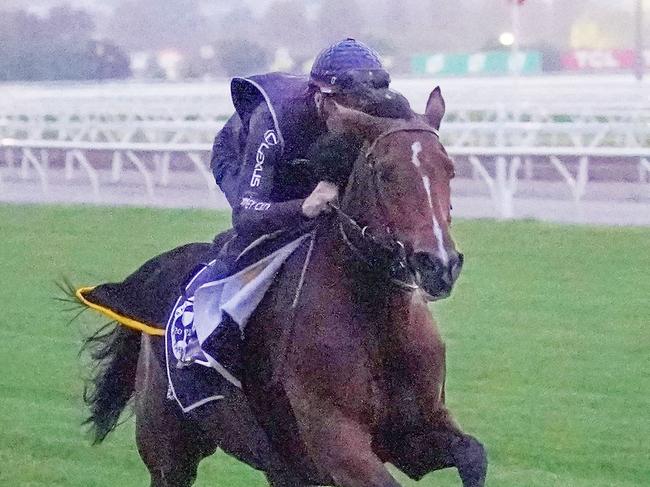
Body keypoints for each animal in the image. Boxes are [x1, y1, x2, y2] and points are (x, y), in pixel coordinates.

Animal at [73, 86, 484, 486]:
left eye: (449, 170)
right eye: (384, 172)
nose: (439, 264)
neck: (378, 318)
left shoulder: (412, 432)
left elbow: (473, 455)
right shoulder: (335, 441)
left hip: (281, 464)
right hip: (169, 452)